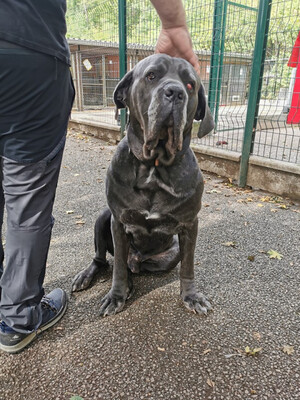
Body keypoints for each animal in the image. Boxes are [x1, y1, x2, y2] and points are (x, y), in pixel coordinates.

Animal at [72, 54, 214, 316]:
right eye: (151, 76)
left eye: (190, 85)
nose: (175, 92)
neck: (154, 167)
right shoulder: (118, 221)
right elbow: (117, 266)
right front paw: (116, 295)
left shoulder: (190, 224)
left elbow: (188, 266)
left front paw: (191, 296)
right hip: (103, 217)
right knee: (106, 260)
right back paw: (90, 277)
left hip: (170, 253)